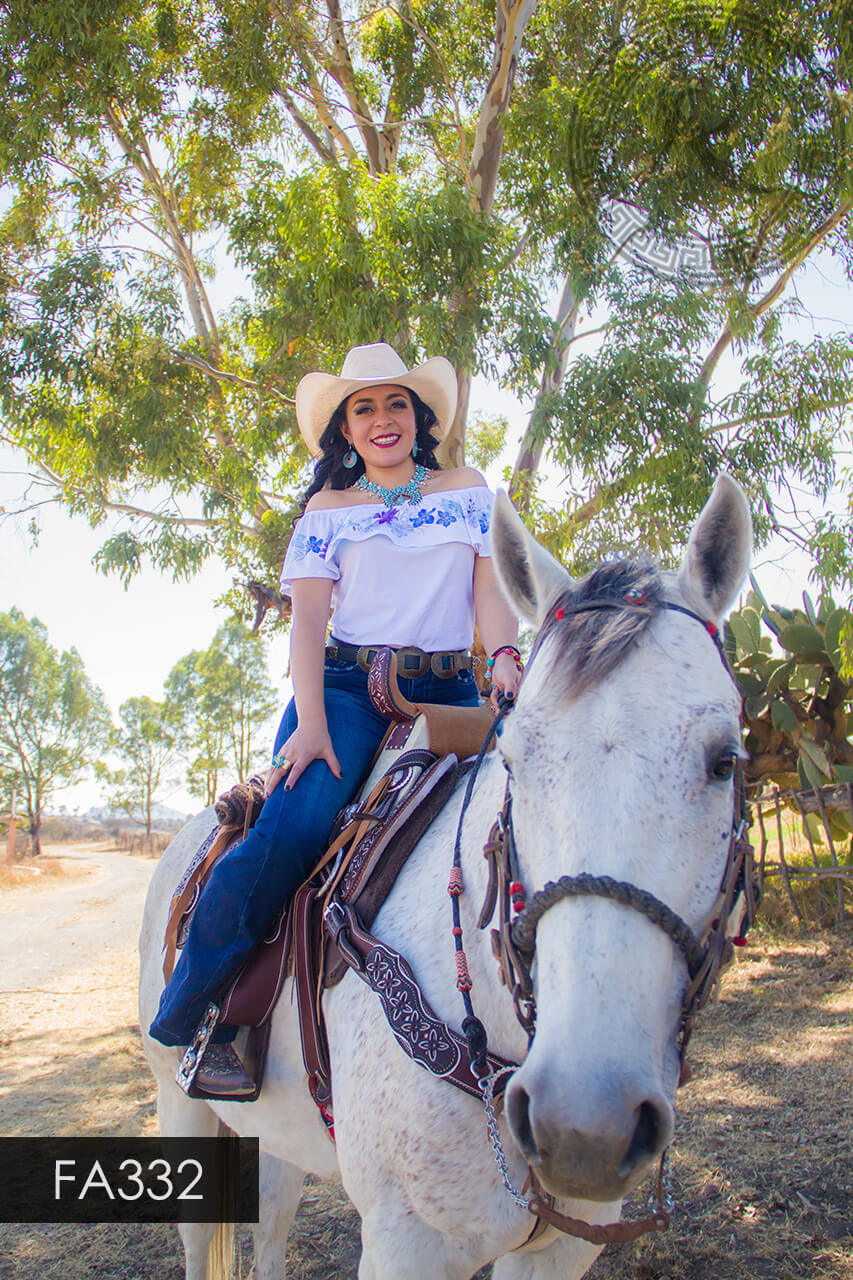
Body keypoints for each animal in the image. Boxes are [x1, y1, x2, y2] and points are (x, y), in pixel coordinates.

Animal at [137, 476, 753, 1280]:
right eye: (514, 758)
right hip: (179, 1101)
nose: (582, 1123)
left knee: (270, 1226)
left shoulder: (562, 1247)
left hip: (277, 1132)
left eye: (724, 760)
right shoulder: (408, 1243)